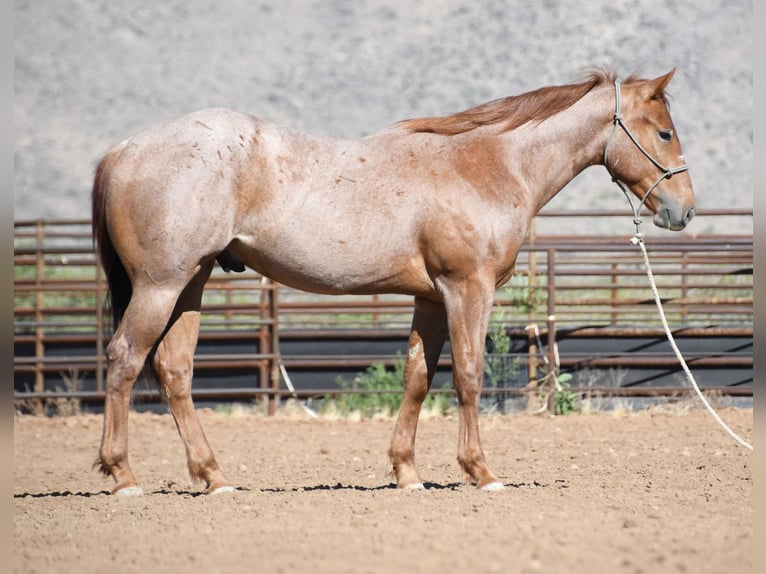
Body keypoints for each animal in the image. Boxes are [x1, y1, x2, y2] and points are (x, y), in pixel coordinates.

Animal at [91, 68, 694, 495]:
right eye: (664, 132)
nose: (683, 210)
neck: (485, 164)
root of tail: (122, 150)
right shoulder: (467, 289)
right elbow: (469, 376)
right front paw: (481, 471)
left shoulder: (430, 298)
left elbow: (417, 379)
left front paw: (407, 473)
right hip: (160, 285)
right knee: (125, 359)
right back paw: (123, 477)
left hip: (190, 284)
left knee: (174, 370)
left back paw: (214, 477)